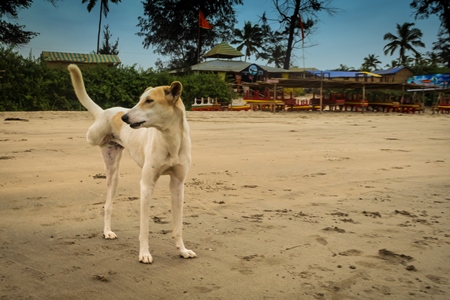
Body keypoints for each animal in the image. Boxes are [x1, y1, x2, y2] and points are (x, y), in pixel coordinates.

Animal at [69, 64, 197, 264]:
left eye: (149, 100)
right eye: (139, 100)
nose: (125, 118)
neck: (169, 140)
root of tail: (106, 112)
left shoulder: (178, 185)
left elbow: (178, 227)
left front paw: (182, 250)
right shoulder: (146, 185)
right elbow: (144, 228)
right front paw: (144, 253)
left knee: (108, 205)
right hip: (98, 145)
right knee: (107, 204)